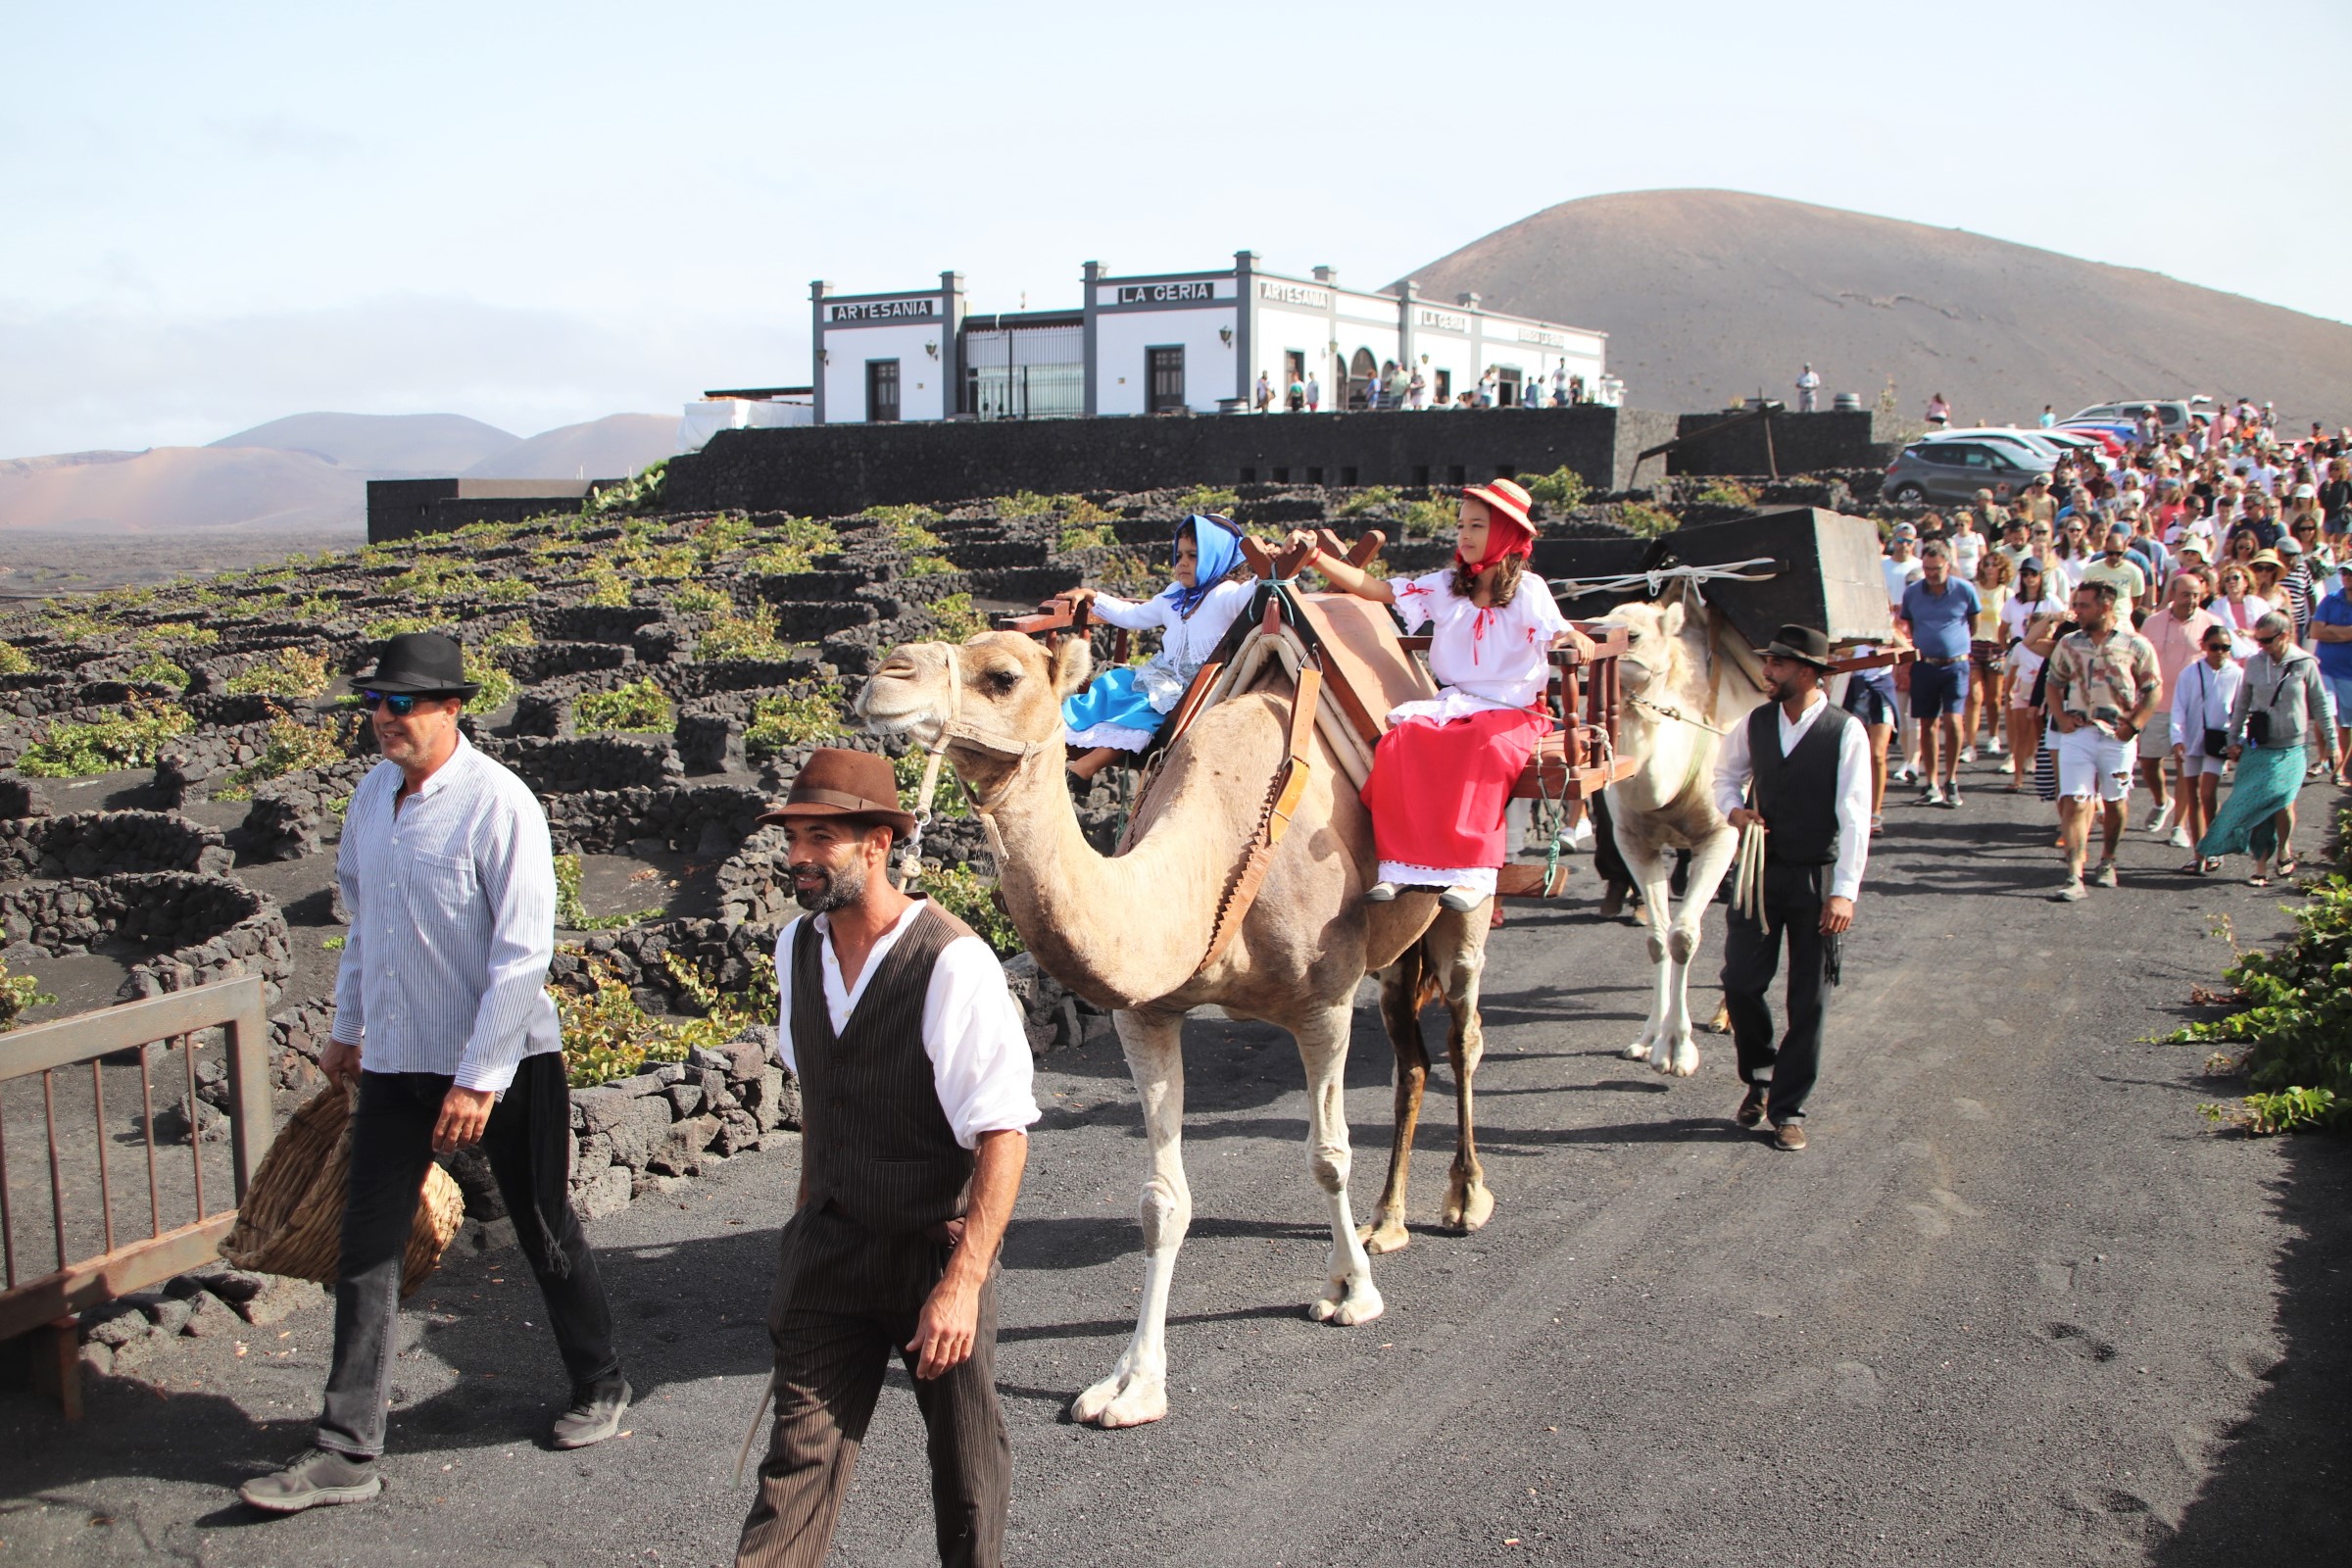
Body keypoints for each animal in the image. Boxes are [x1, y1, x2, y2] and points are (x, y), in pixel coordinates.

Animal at [856, 629, 1495, 1439]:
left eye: (1002, 676)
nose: (885, 677)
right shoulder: (1145, 1013)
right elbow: (1162, 1202)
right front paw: (1132, 1384)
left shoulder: (1323, 1002)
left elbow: (1328, 1156)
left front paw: (1351, 1292)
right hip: (1392, 961)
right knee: (1411, 1060)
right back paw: (1388, 1220)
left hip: (1467, 902)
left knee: (1464, 1036)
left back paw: (1464, 1200)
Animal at [1599, 594, 1768, 1071]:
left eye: (1632, 634)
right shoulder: (1633, 842)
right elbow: (1659, 939)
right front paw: (1648, 1039)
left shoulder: (1720, 835)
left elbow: (1683, 936)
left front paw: (1677, 1049)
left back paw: (1726, 1017)